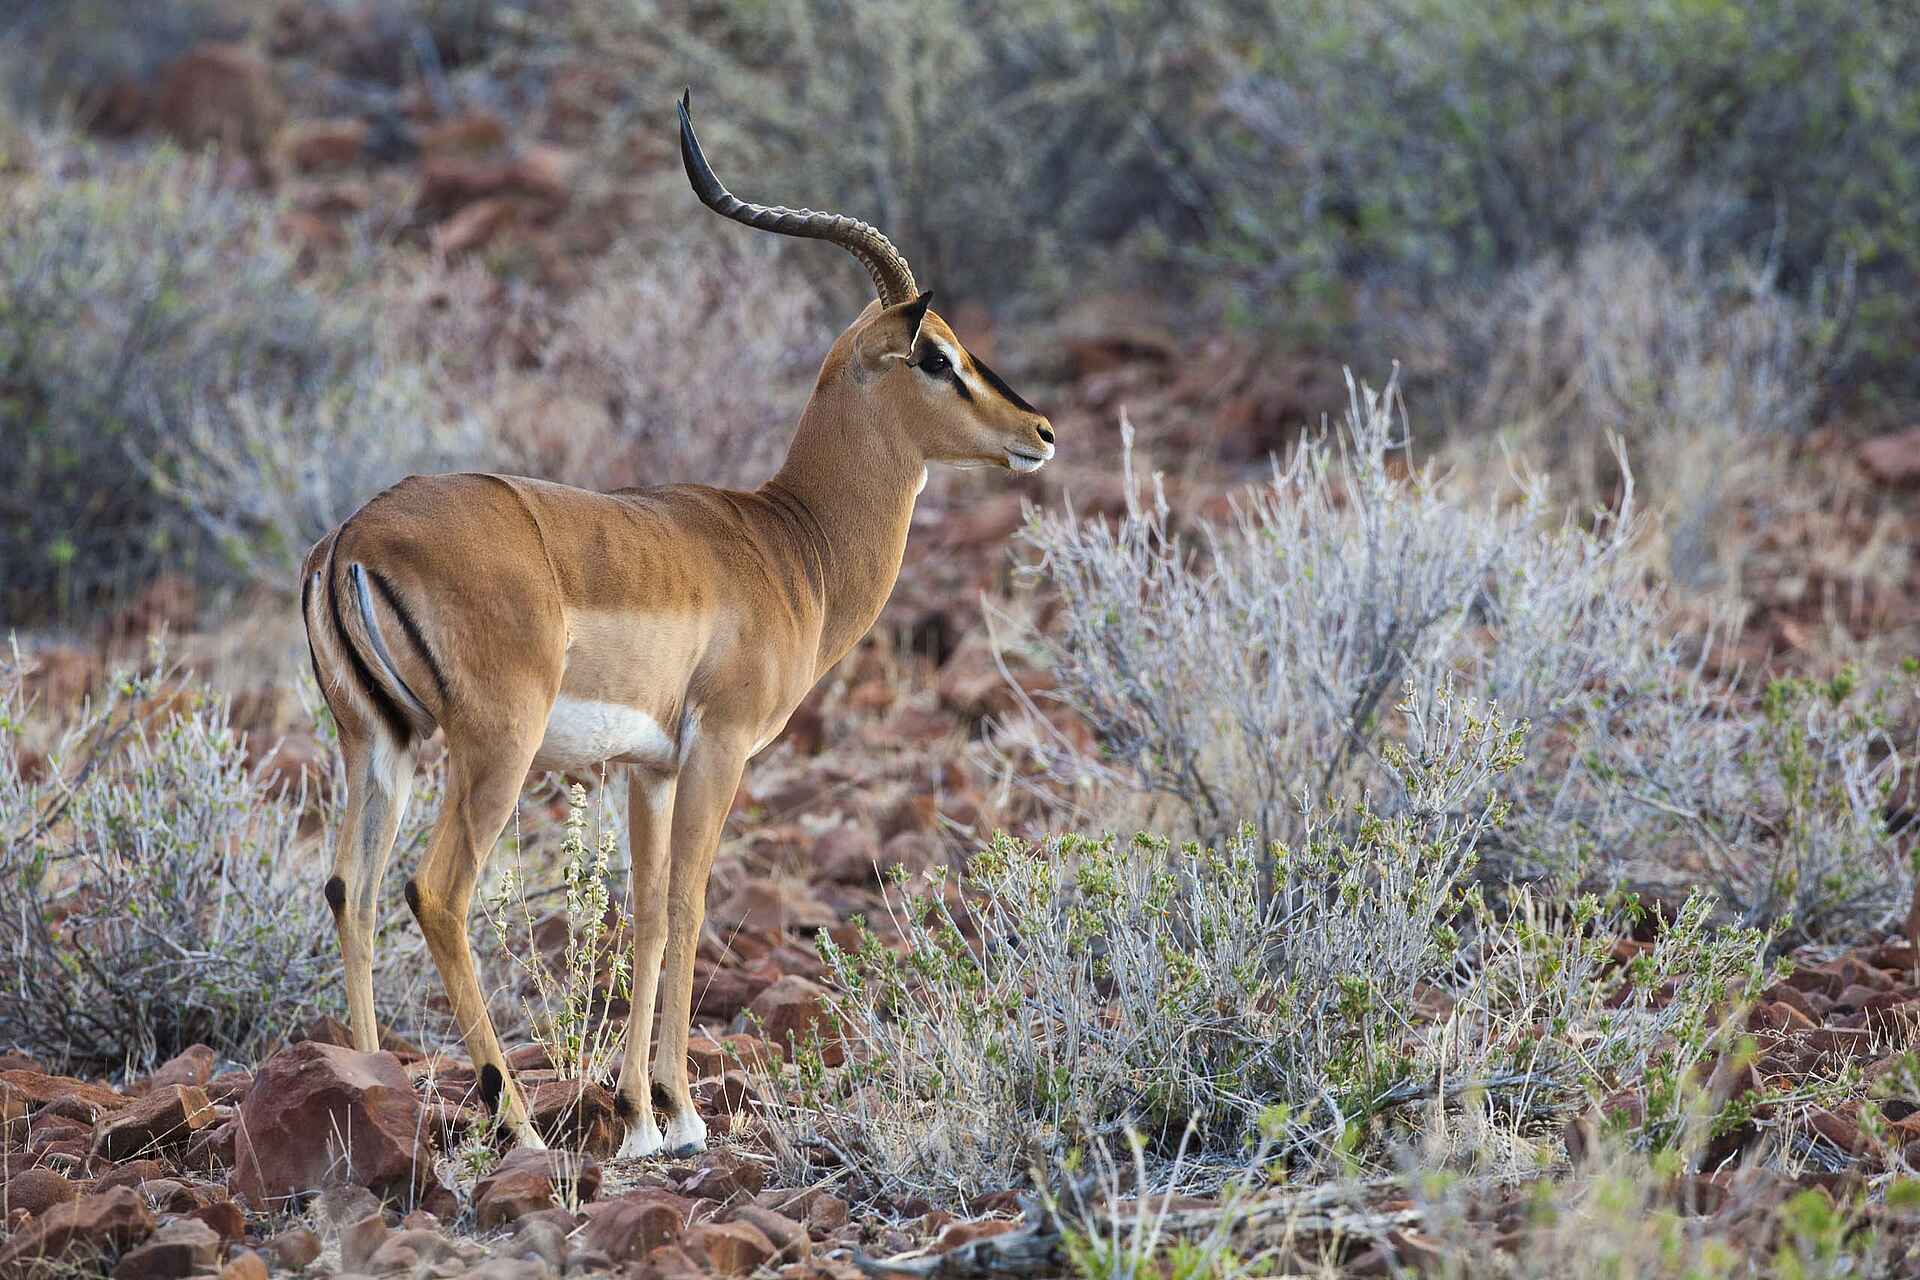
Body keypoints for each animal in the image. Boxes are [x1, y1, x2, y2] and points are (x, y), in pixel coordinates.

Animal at [300, 91, 1055, 1157]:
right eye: (935, 355)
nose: (1040, 433)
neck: (790, 544)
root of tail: (353, 538)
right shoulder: (720, 747)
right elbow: (695, 904)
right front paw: (686, 1115)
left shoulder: (646, 769)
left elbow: (649, 913)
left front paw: (640, 1121)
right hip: (493, 747)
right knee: (436, 893)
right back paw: (518, 1124)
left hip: (380, 742)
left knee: (352, 892)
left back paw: (375, 1090)